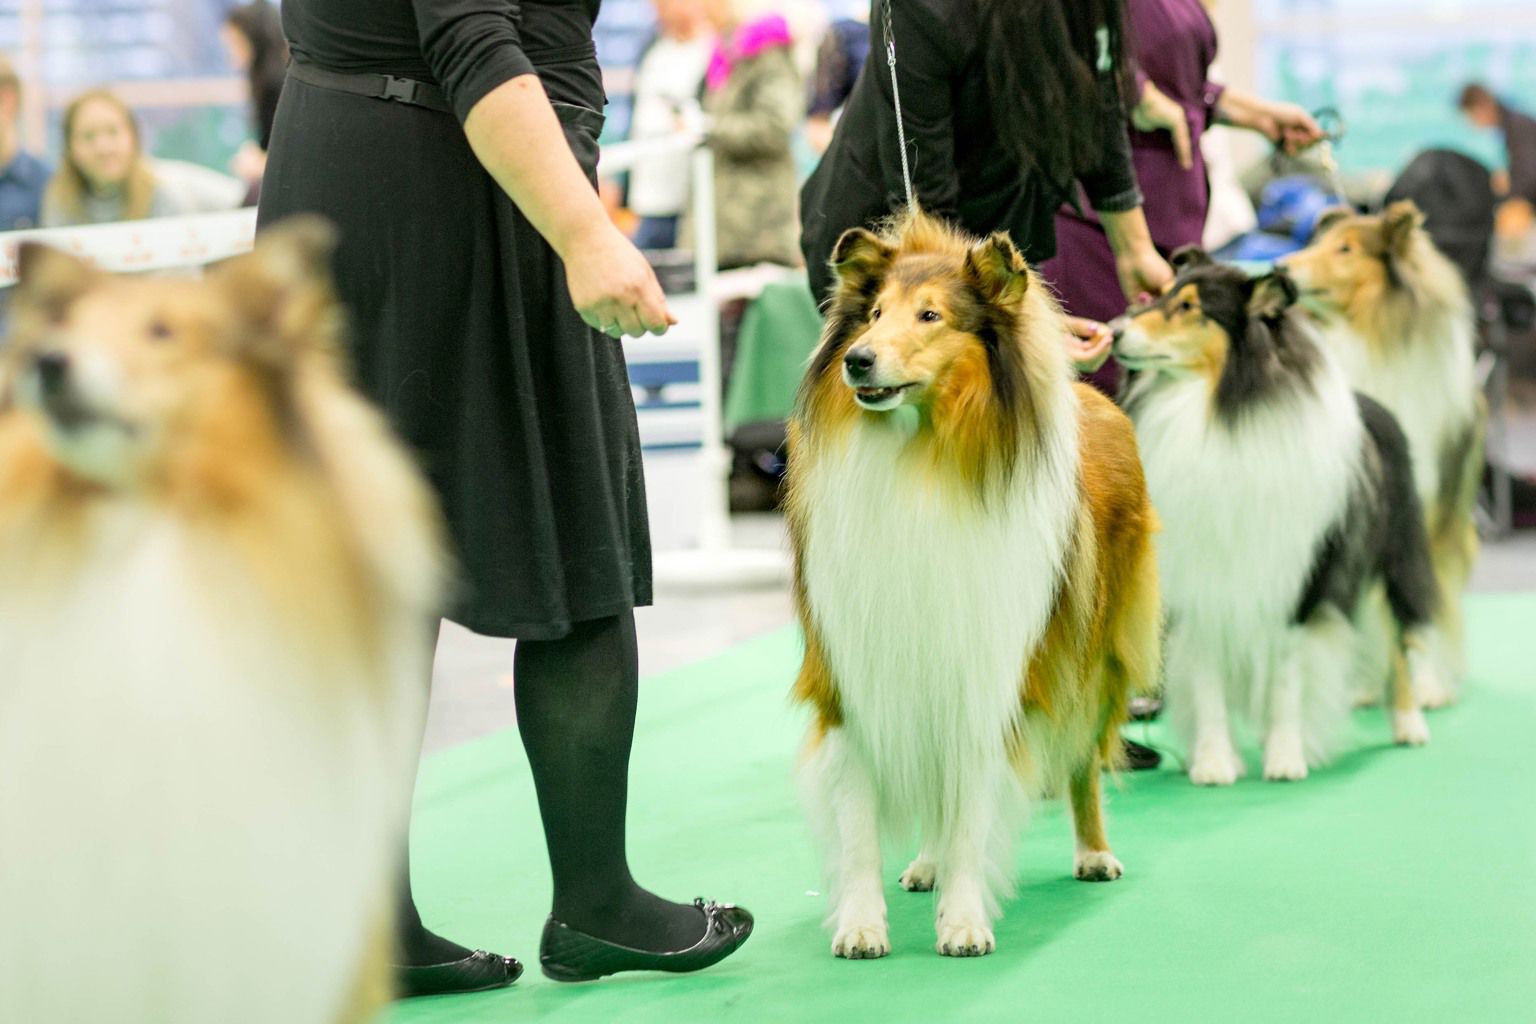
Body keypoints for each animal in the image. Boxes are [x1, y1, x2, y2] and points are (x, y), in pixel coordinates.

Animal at [786, 214, 1155, 964]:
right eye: (873, 314)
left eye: (931, 315)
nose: (858, 361)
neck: (920, 462)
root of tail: (1094, 396)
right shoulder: (853, 673)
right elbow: (860, 820)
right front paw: (861, 925)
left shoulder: (991, 671)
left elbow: (972, 812)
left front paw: (962, 921)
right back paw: (924, 864)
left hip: (1094, 659)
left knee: (1081, 764)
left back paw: (1094, 853)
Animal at [1118, 250, 1437, 786]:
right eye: (1160, 295)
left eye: (1189, 307)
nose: (1114, 330)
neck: (1216, 413)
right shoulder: (1198, 581)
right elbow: (1206, 678)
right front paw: (1213, 763)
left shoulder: (1299, 582)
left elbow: (1287, 679)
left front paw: (1286, 759)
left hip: (1388, 560)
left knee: (1397, 640)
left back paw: (1410, 725)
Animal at [1284, 198, 1486, 706]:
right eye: (1319, 241)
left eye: (1347, 249)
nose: (1280, 267)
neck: (1369, 337)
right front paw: (1366, 683)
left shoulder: (1423, 513)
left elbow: (1422, 599)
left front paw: (1426, 684)